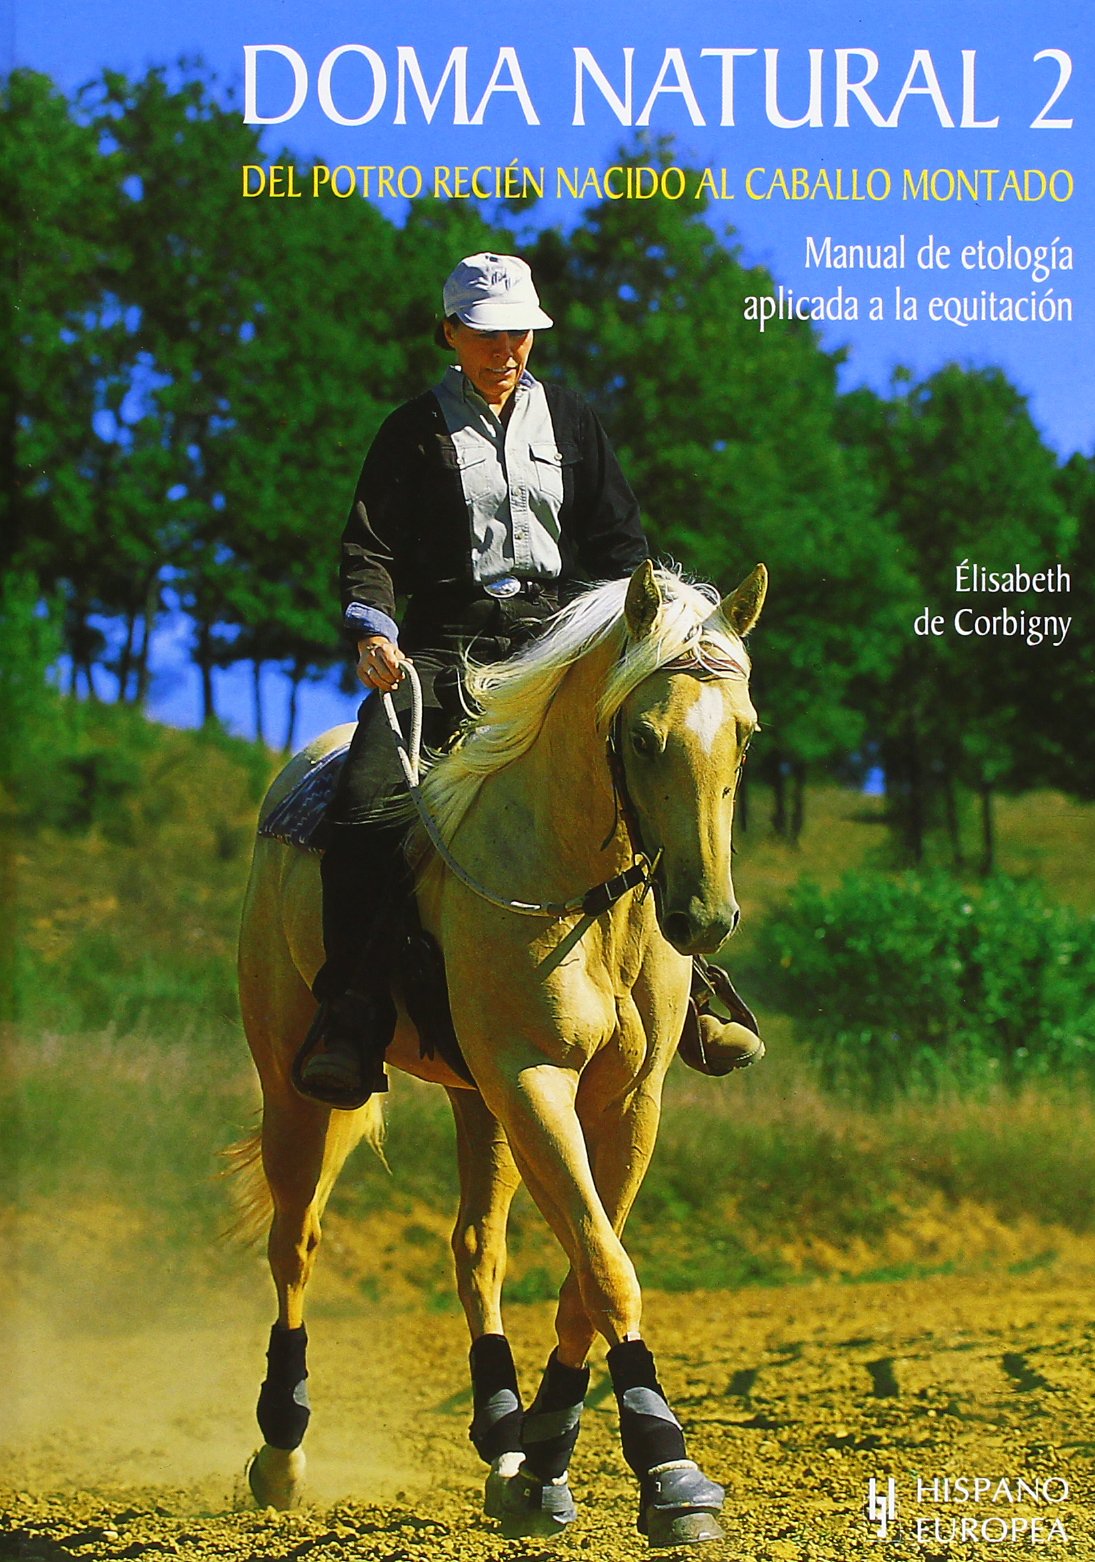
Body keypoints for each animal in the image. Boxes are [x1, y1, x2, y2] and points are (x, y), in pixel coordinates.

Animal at [232, 559, 767, 1547]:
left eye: (744, 737)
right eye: (642, 737)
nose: (703, 918)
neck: (583, 897)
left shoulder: (623, 1101)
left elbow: (586, 1271)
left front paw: (547, 1462)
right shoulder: (532, 1079)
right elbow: (607, 1268)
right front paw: (669, 1470)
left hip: (476, 1100)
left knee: (476, 1245)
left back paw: (502, 1437)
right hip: (297, 1086)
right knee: (296, 1242)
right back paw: (281, 1449)